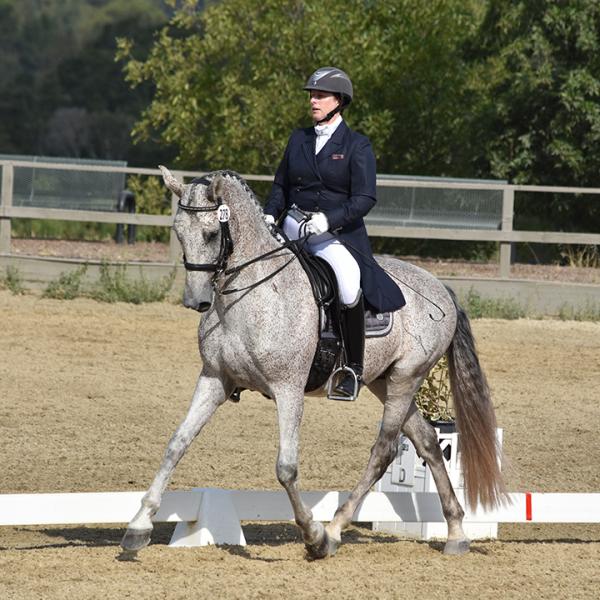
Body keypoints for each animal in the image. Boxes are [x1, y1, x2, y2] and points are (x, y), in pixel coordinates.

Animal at [122, 168, 506, 556]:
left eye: (212, 233)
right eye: (177, 232)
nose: (195, 301)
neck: (249, 296)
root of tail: (441, 287)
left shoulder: (288, 387)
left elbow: (286, 467)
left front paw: (312, 534)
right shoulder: (215, 378)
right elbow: (177, 444)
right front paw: (138, 525)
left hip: (406, 377)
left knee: (383, 450)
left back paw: (333, 531)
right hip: (384, 381)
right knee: (427, 440)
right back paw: (455, 532)